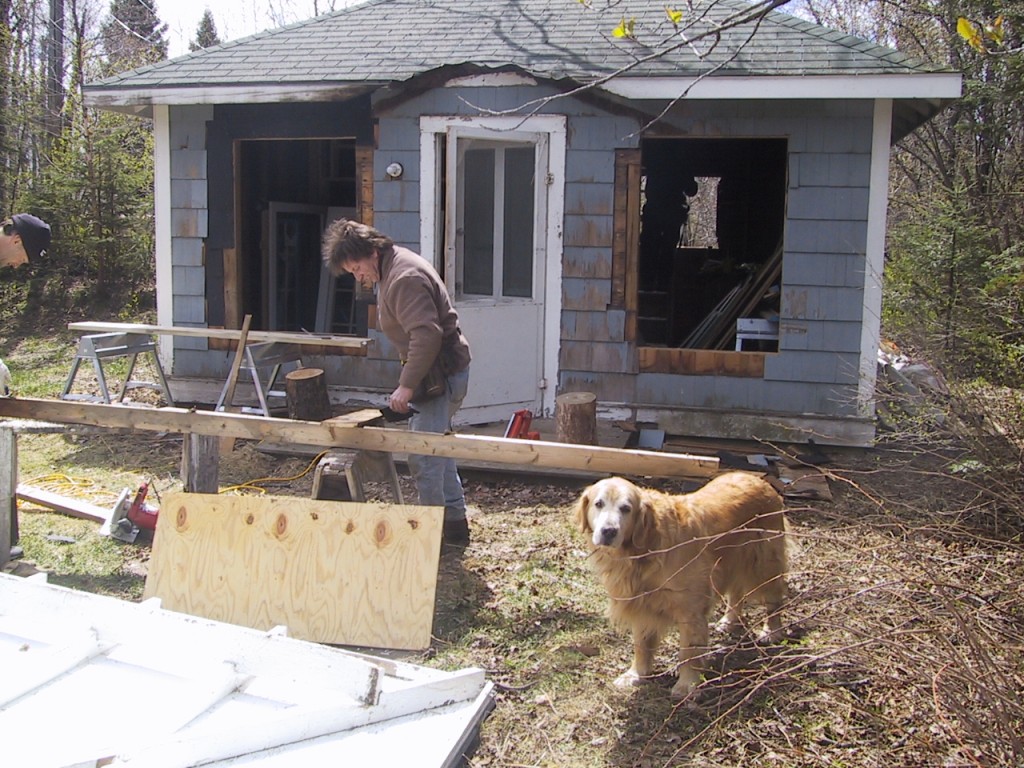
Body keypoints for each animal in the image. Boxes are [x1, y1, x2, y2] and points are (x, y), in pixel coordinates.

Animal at [577, 473, 782, 700]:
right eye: (598, 504)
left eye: (626, 508)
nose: (609, 531)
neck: (646, 548)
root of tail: (758, 479)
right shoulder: (642, 604)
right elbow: (641, 645)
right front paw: (635, 674)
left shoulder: (690, 611)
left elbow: (688, 653)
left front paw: (686, 685)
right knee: (736, 592)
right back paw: (729, 621)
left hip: (765, 563)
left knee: (774, 600)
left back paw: (772, 631)